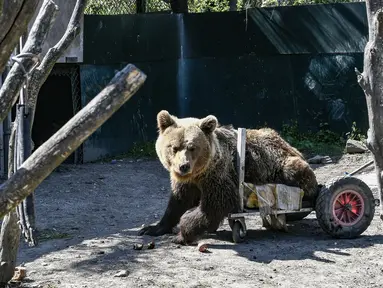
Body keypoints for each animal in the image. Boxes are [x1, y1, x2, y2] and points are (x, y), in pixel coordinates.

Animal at [140, 110, 320, 245]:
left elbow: (217, 203)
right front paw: (151, 228)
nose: (183, 166)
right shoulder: (189, 182)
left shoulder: (219, 174)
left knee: (299, 176)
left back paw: (305, 201)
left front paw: (182, 235)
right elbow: (178, 201)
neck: (200, 173)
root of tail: (287, 143)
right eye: (174, 147)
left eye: (192, 147)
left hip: (281, 165)